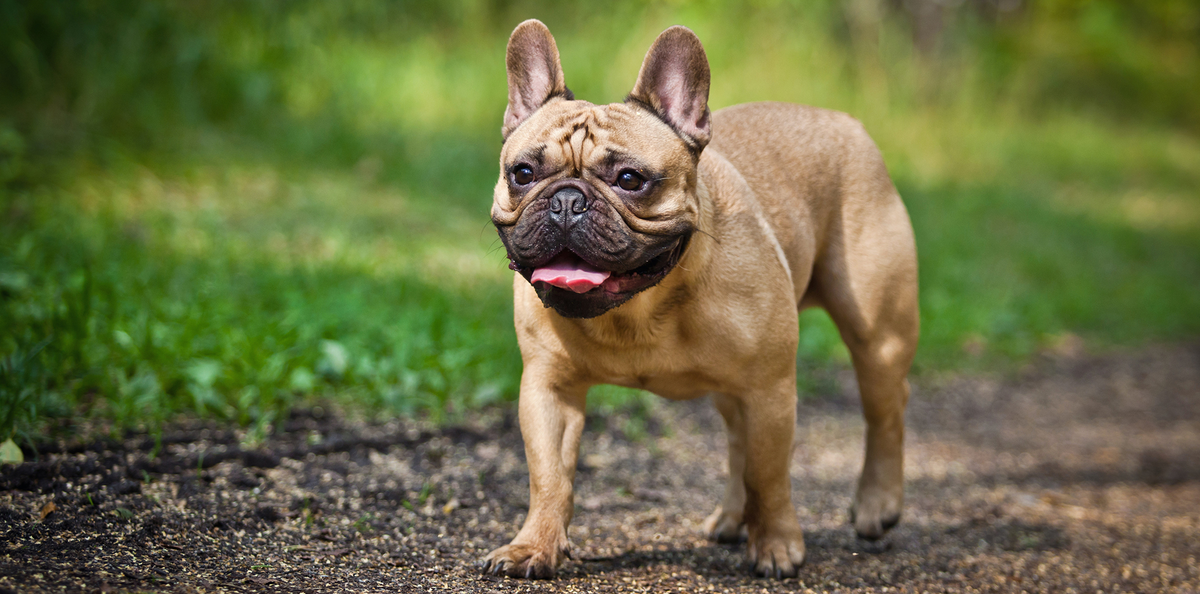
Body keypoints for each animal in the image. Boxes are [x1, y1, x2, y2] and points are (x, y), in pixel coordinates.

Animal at [477, 21, 916, 578]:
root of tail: (844, 121)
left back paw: (878, 504)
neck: (636, 311)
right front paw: (534, 546)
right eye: (523, 174)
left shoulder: (770, 389)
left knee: (885, 412)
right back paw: (731, 518)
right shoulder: (548, 389)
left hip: (877, 334)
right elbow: (549, 476)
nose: (567, 200)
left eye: (630, 179)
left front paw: (777, 544)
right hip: (733, 387)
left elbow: (769, 474)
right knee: (737, 440)